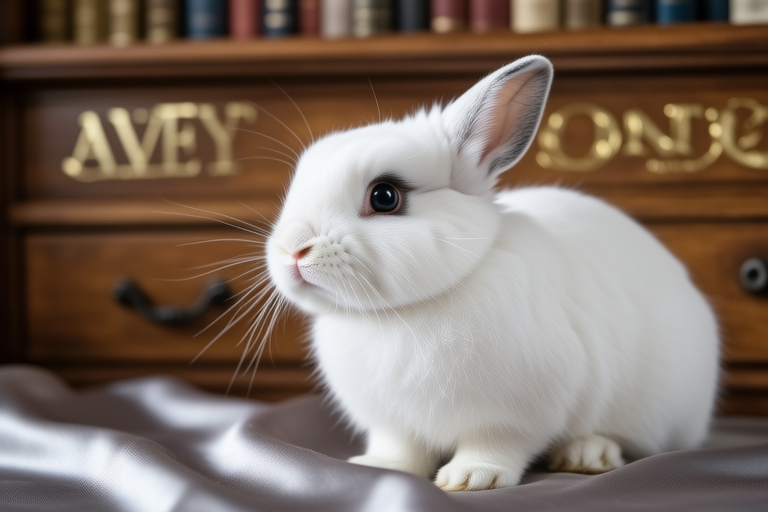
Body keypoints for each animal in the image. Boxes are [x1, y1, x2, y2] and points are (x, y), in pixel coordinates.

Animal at [265, 55, 720, 491]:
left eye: (385, 196)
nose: (292, 249)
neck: (401, 314)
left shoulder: (512, 416)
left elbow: (495, 445)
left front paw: (470, 478)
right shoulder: (391, 422)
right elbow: (400, 449)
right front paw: (379, 466)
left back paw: (587, 455)